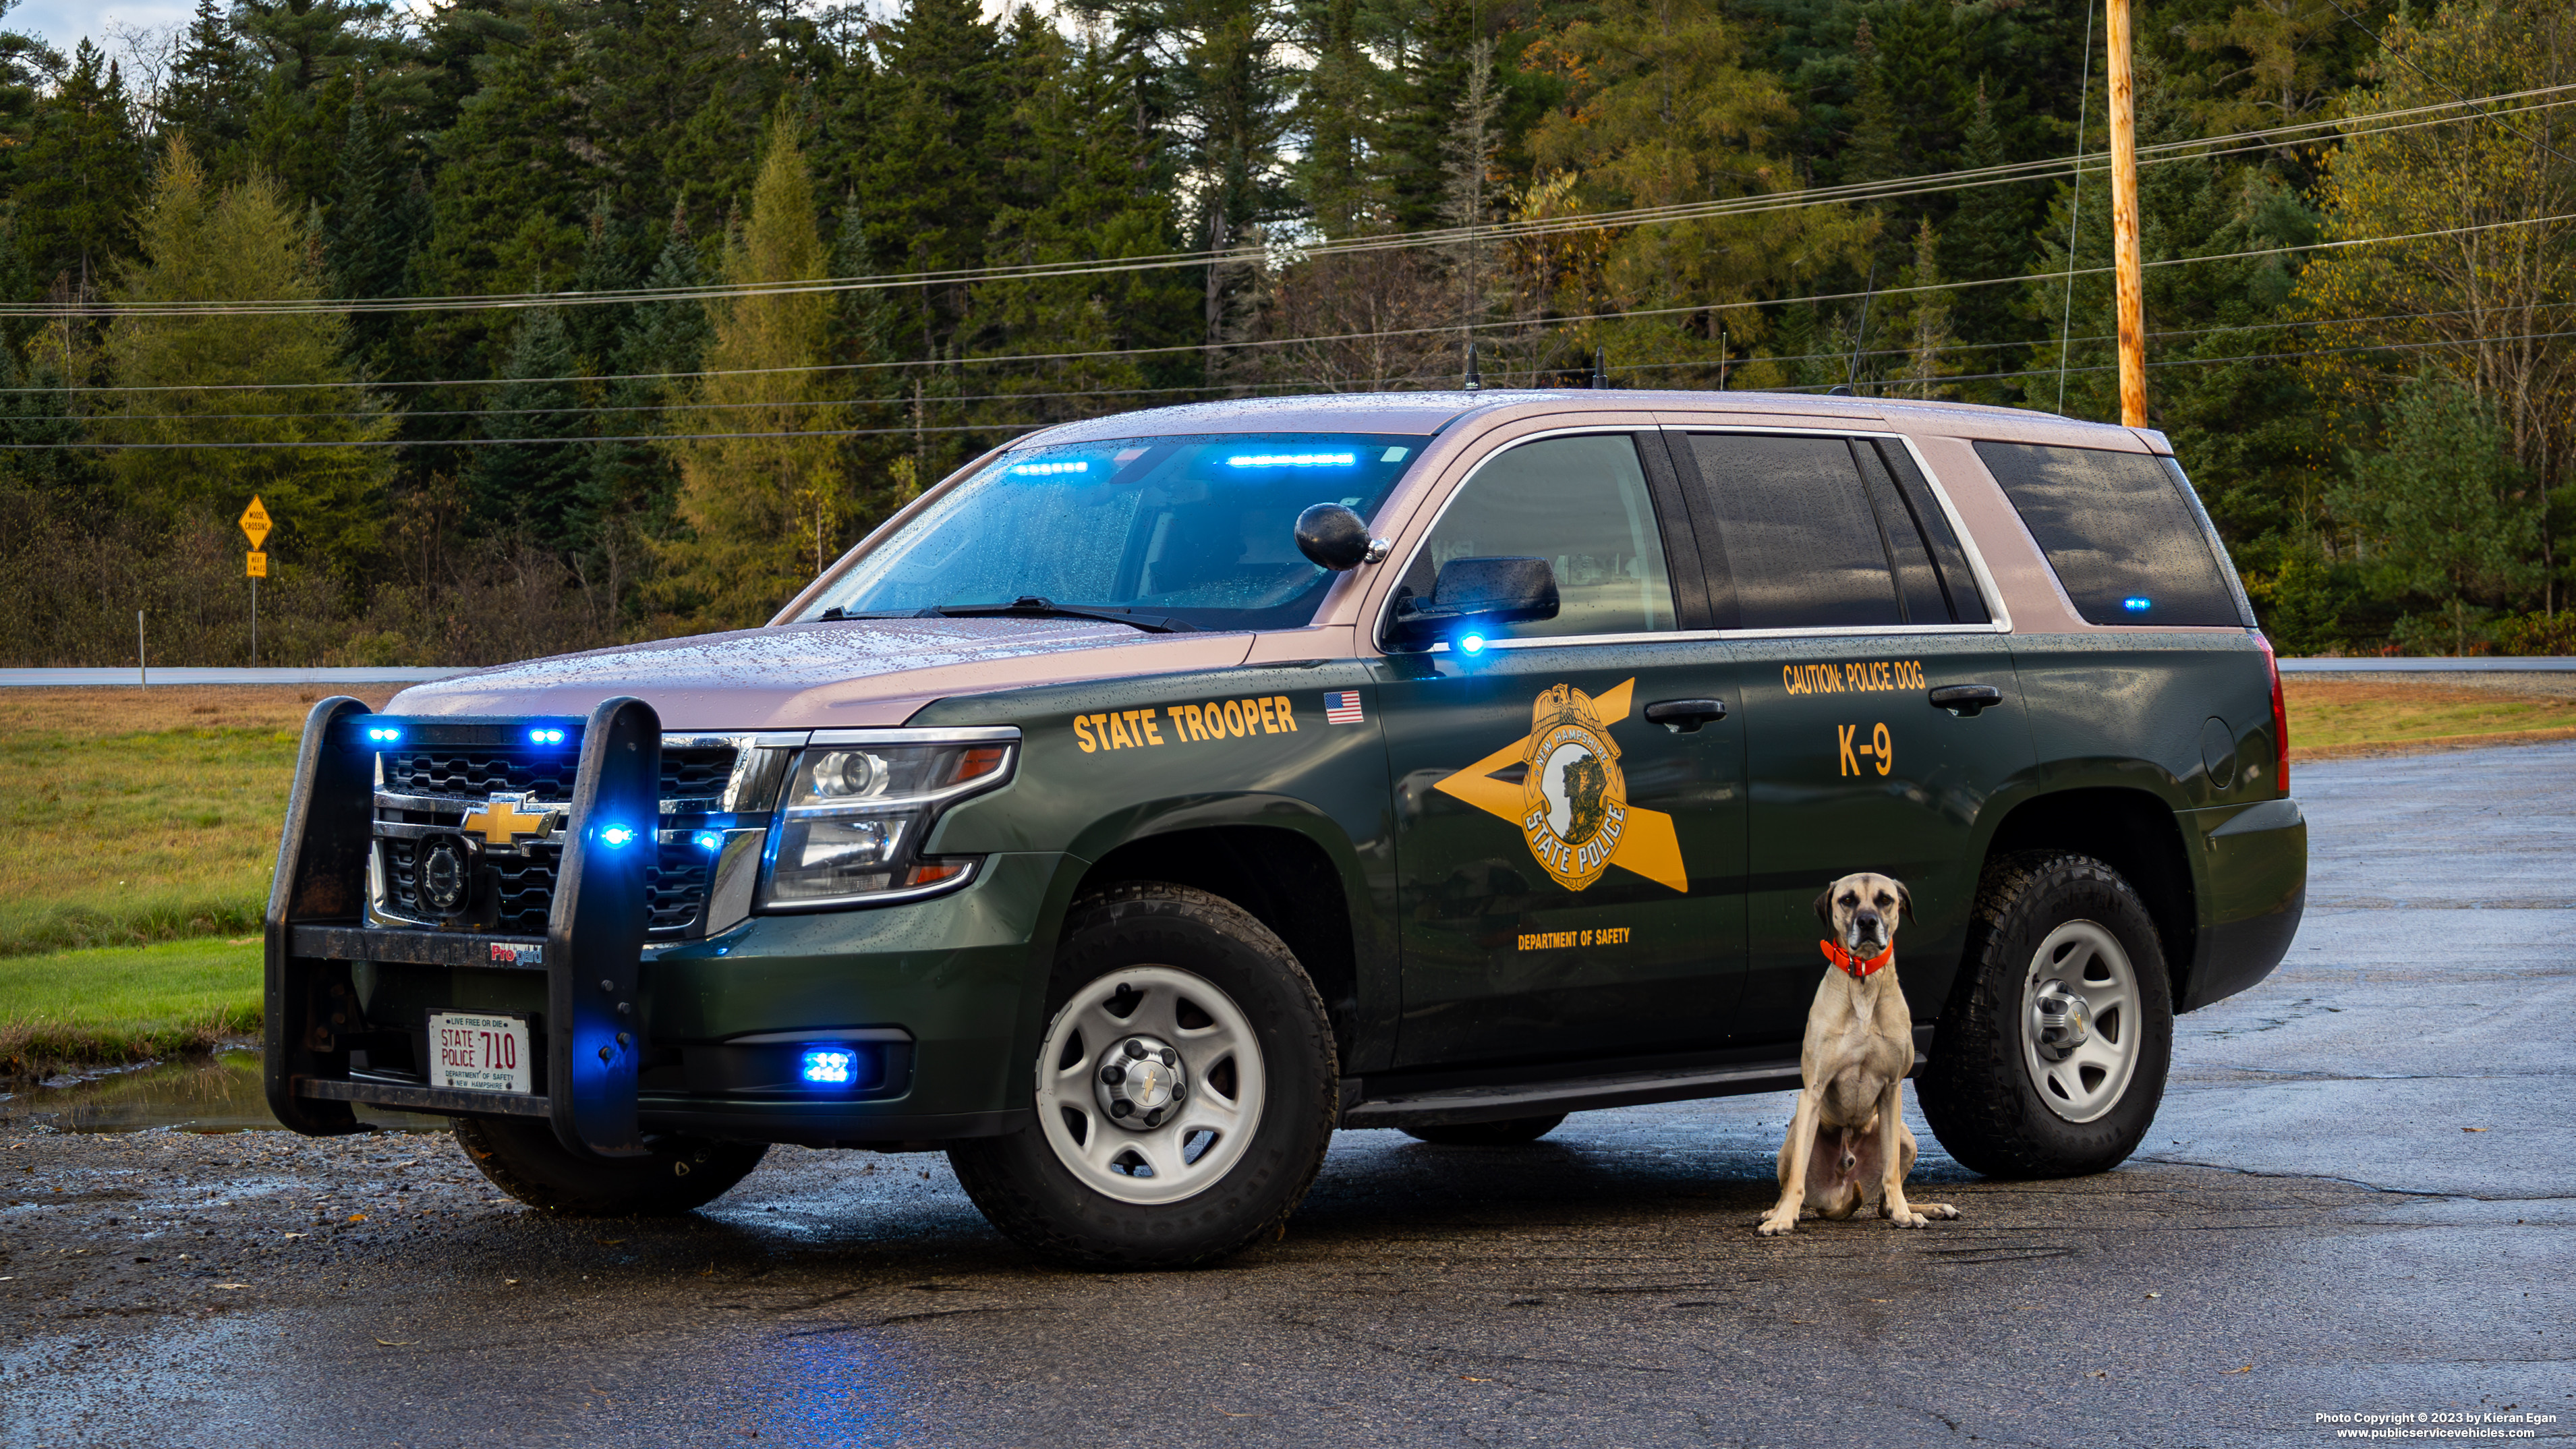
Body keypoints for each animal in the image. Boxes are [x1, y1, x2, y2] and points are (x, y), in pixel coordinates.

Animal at [1762, 866, 1957, 1227]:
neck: (1865, 979)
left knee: (1882, 1201)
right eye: (1848, 900)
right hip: (1795, 1133)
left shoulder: (1892, 1090)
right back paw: (1777, 1211)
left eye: (1885, 900)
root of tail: (1840, 1190)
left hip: (1905, 1135)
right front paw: (1782, 1220)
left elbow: (1891, 1172)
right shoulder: (1813, 1090)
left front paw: (1904, 1214)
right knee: (1791, 1181)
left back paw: (1919, 1208)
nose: (1867, 921)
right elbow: (1796, 1177)